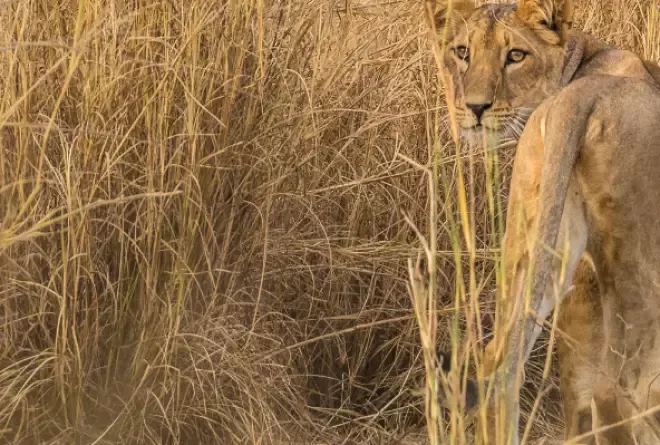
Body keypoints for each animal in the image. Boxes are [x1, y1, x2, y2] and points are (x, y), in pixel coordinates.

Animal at [423, 0, 660, 444]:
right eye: (463, 53)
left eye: (516, 55)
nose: (475, 108)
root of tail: (586, 94)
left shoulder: (582, 288)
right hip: (640, 269)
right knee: (621, 393)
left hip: (537, 241)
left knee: (499, 362)